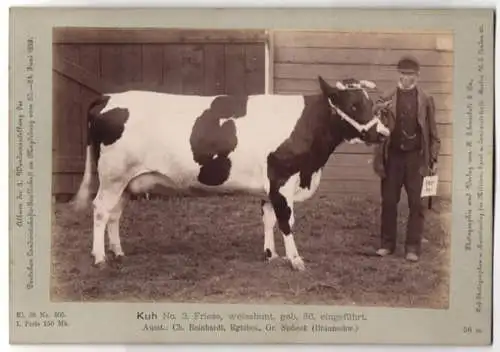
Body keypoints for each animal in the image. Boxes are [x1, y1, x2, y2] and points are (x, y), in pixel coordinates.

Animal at [72, 75, 388, 270]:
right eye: (353, 105)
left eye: (371, 103)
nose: (384, 134)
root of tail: (108, 97)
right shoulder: (282, 180)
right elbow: (286, 221)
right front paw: (295, 260)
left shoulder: (269, 186)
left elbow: (268, 219)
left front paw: (271, 255)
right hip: (112, 176)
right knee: (100, 210)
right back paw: (100, 258)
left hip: (127, 181)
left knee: (115, 214)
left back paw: (118, 252)